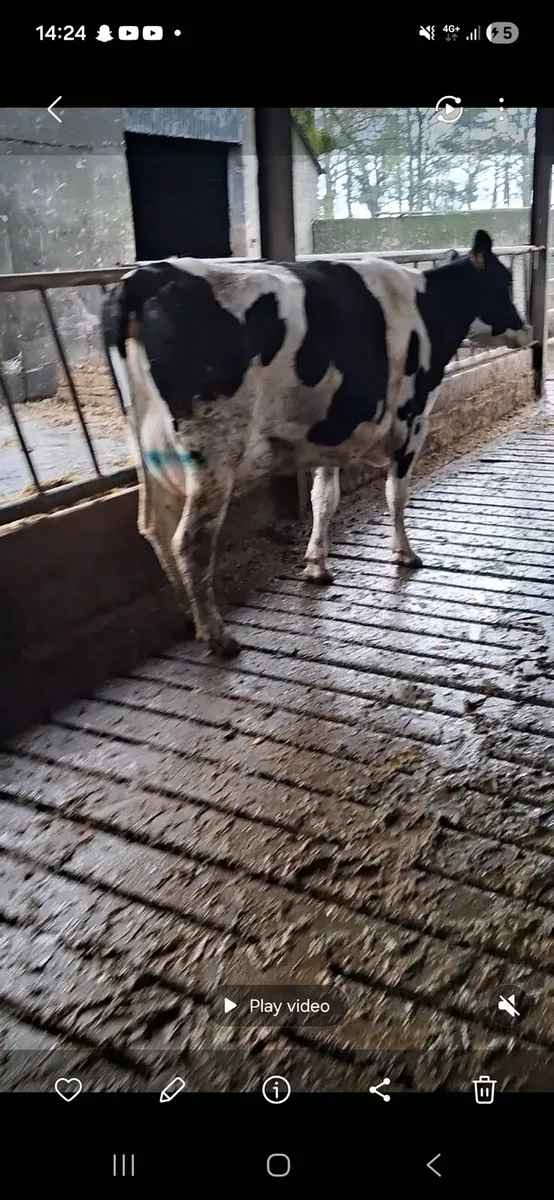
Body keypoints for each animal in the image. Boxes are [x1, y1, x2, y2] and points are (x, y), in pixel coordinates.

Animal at [102, 230, 532, 658]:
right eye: (503, 282)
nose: (526, 329)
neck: (428, 309)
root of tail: (144, 278)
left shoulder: (335, 430)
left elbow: (324, 499)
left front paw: (316, 565)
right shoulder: (412, 421)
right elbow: (396, 494)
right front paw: (405, 553)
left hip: (146, 446)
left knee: (155, 525)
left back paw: (188, 614)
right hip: (214, 449)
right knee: (190, 539)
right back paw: (216, 634)